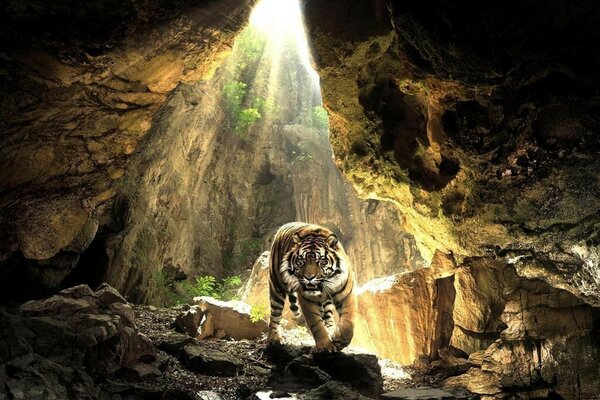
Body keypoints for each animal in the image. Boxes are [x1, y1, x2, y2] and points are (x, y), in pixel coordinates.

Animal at [268, 222, 356, 354]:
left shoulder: (347, 294)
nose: (309, 278)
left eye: (321, 261)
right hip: (276, 286)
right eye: (301, 261)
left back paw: (331, 330)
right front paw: (325, 346)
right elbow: (316, 324)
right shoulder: (308, 300)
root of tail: (284, 225)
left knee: (328, 315)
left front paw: (341, 340)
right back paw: (274, 338)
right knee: (275, 314)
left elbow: (348, 320)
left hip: (327, 302)